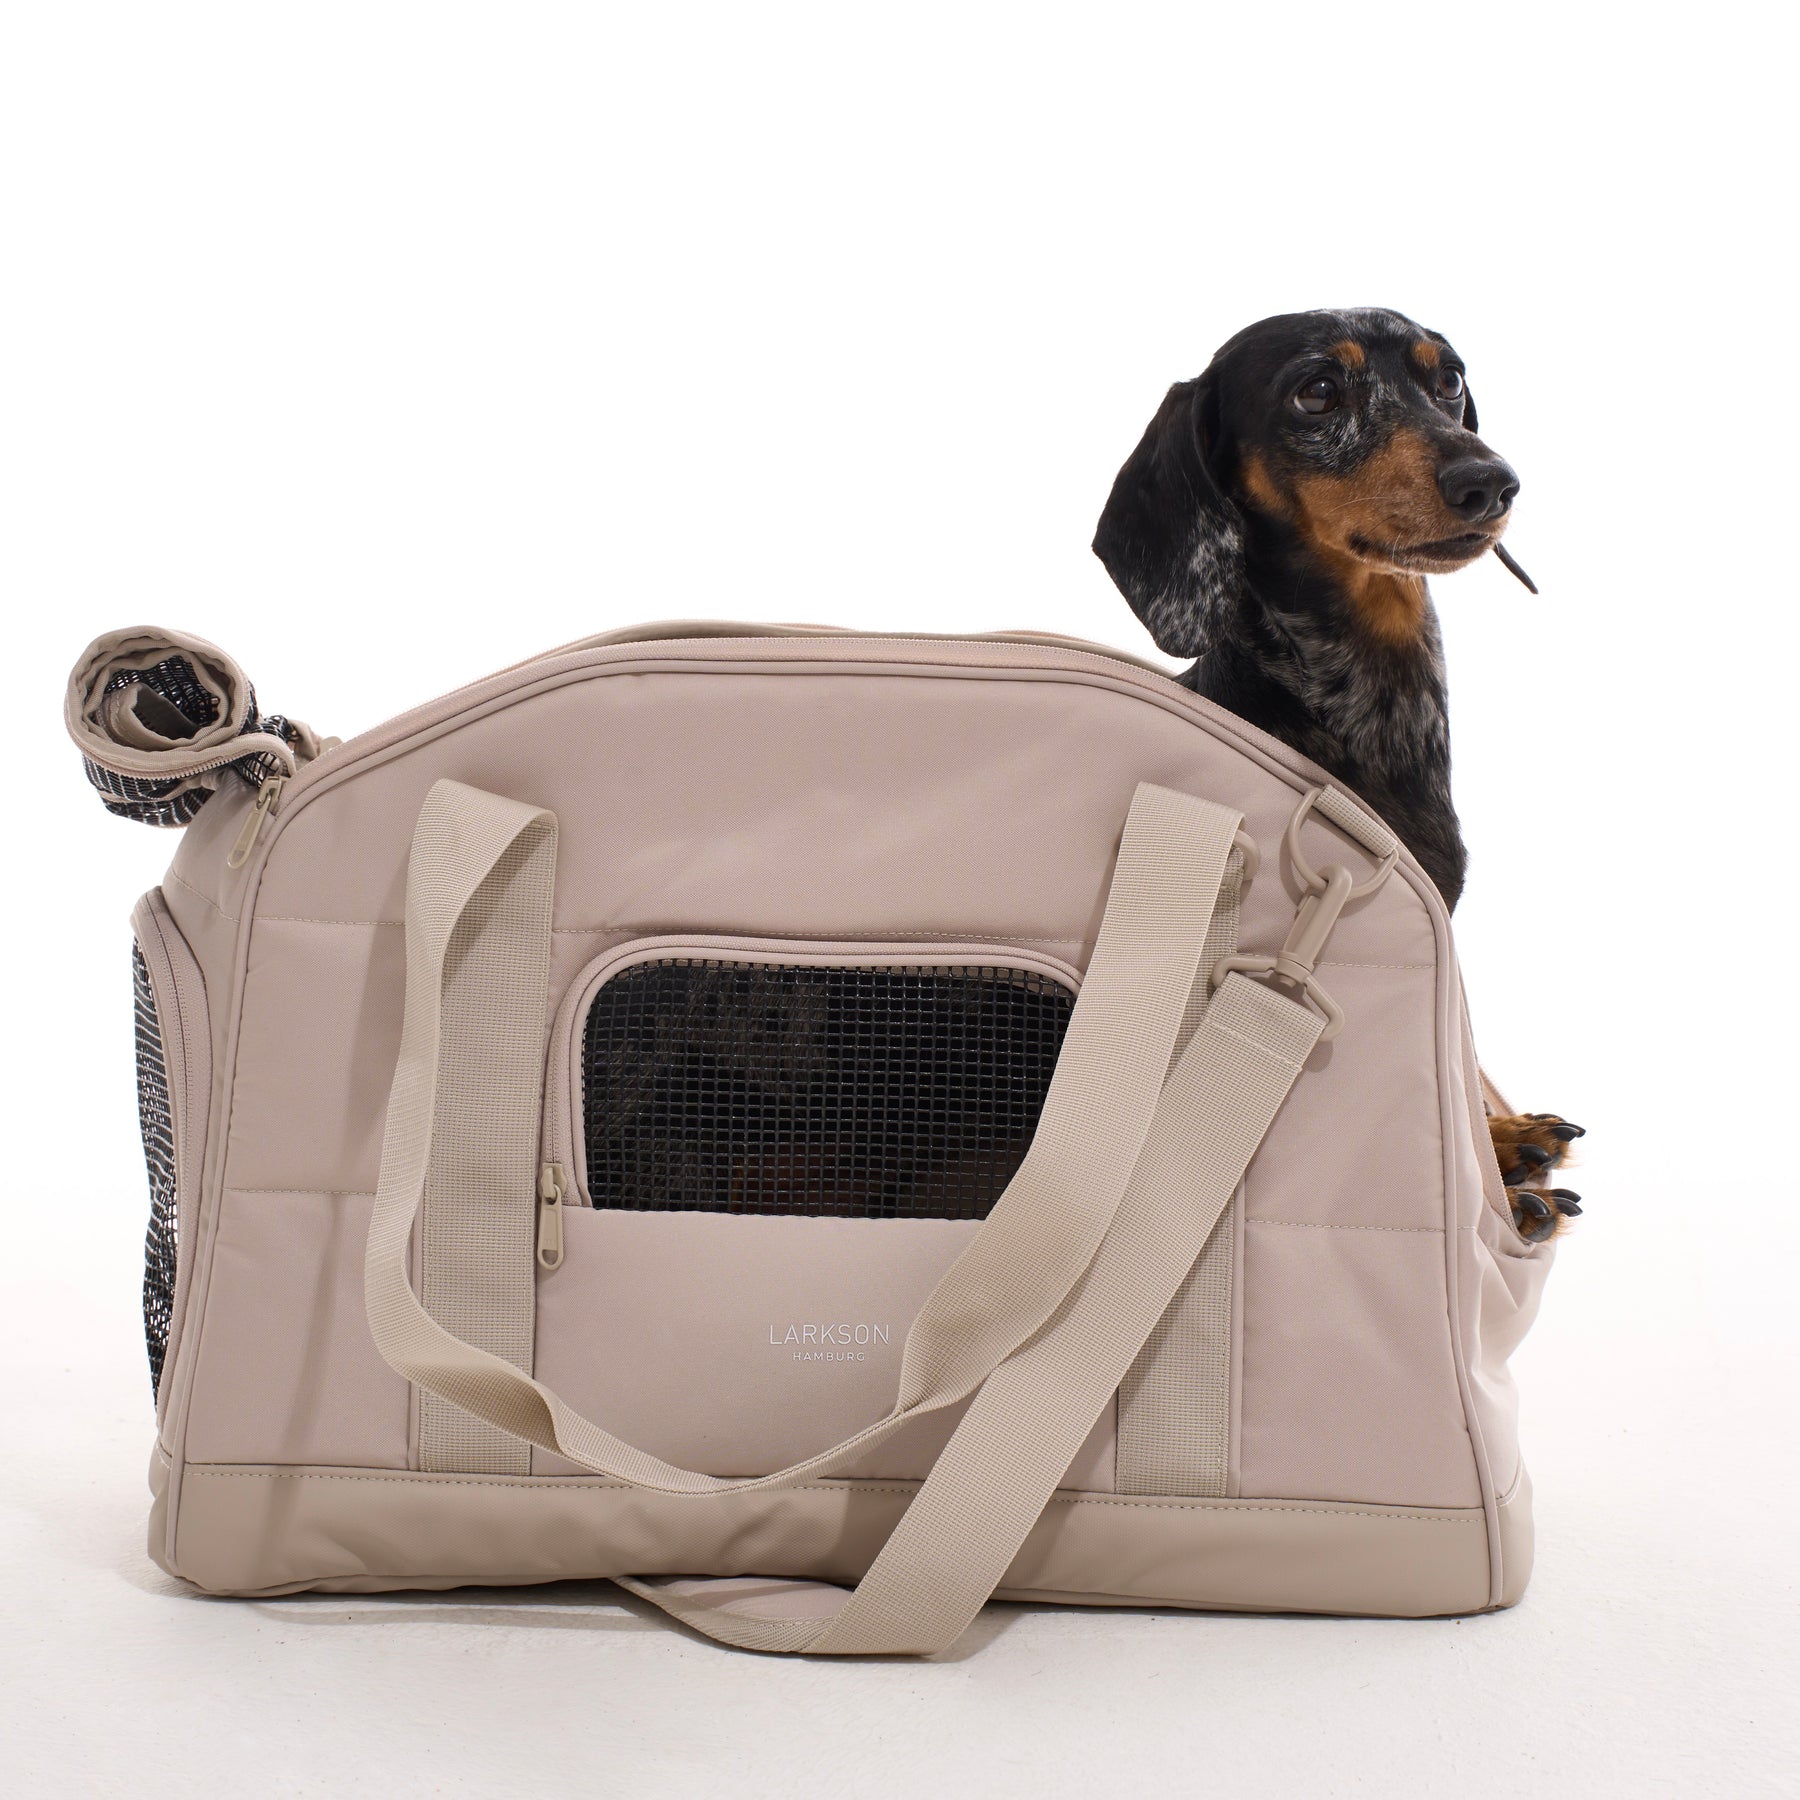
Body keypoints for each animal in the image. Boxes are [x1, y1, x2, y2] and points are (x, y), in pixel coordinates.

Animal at [1093, 306, 1581, 1241]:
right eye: (1316, 392)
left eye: (1448, 380)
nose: (1492, 481)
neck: (1375, 711)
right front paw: (1498, 1180)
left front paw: (1501, 1139)